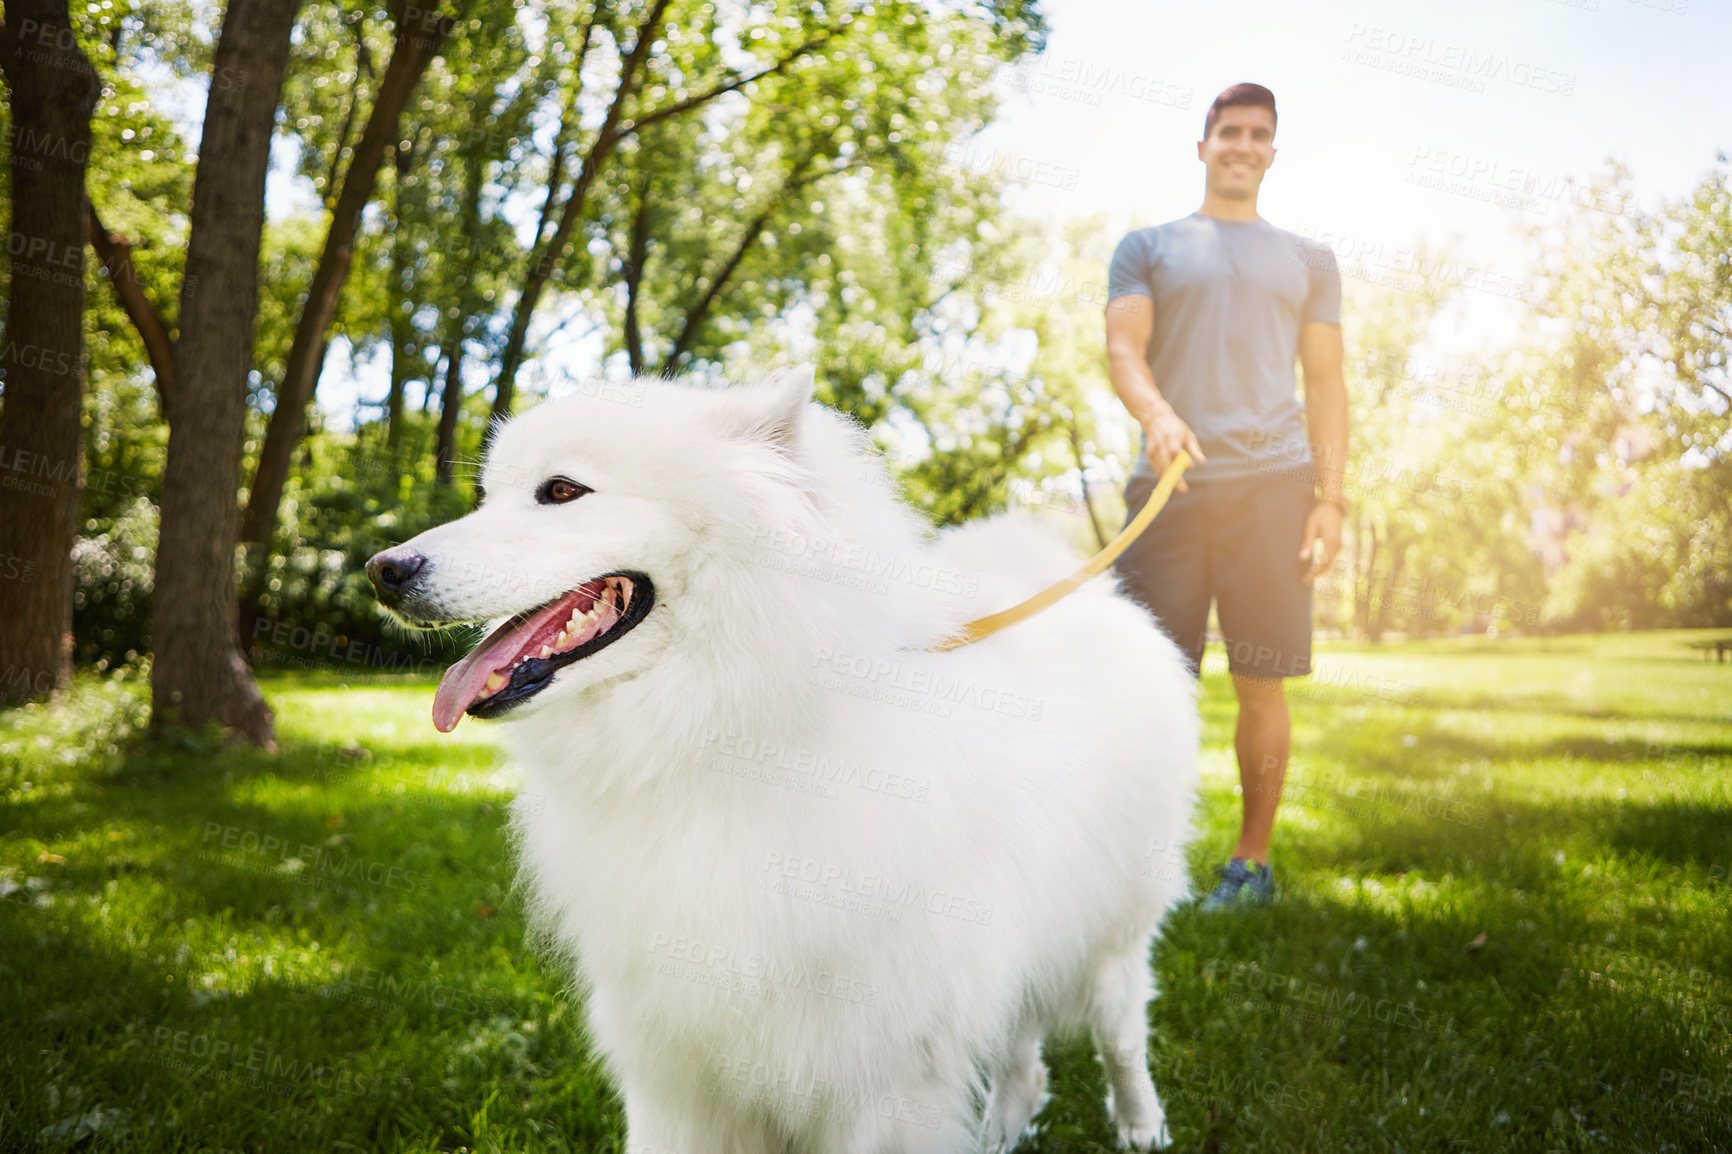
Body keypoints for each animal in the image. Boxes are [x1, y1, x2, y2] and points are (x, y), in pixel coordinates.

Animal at [365, 365, 1198, 1143]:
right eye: (490, 495)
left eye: (562, 490)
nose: (382, 571)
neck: (725, 734)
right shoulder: (677, 1078)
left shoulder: (883, 1080)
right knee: (1023, 1046)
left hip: (1112, 940)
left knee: (1122, 1037)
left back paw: (1140, 1125)